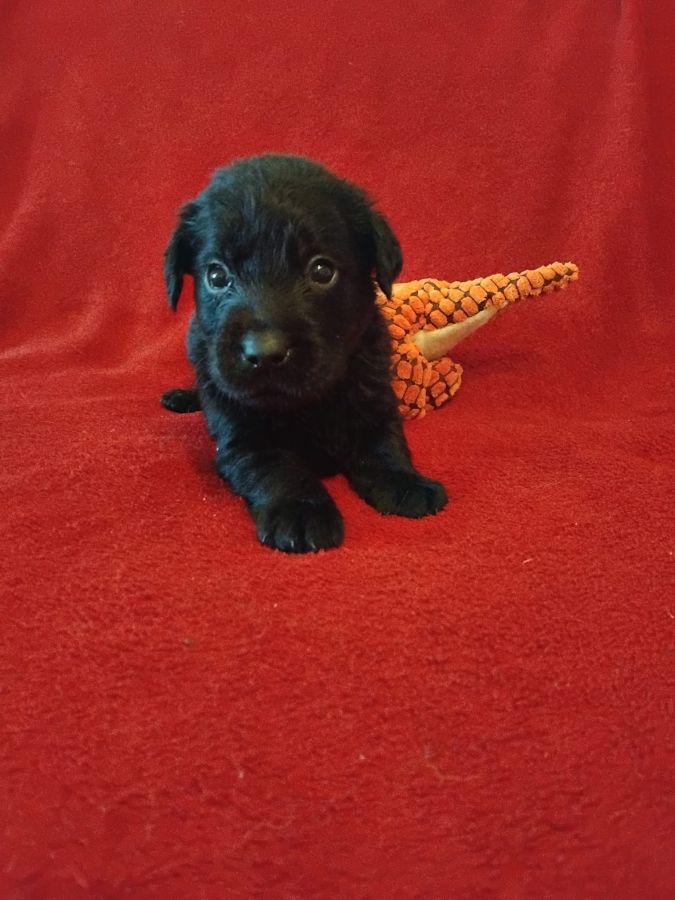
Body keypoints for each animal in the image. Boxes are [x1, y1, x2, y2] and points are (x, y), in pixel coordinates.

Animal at [162, 154, 447, 552]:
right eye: (216, 276)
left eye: (322, 270)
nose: (264, 353)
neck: (307, 401)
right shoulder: (244, 437)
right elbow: (279, 467)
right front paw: (301, 509)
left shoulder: (374, 399)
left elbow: (385, 444)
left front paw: (406, 482)